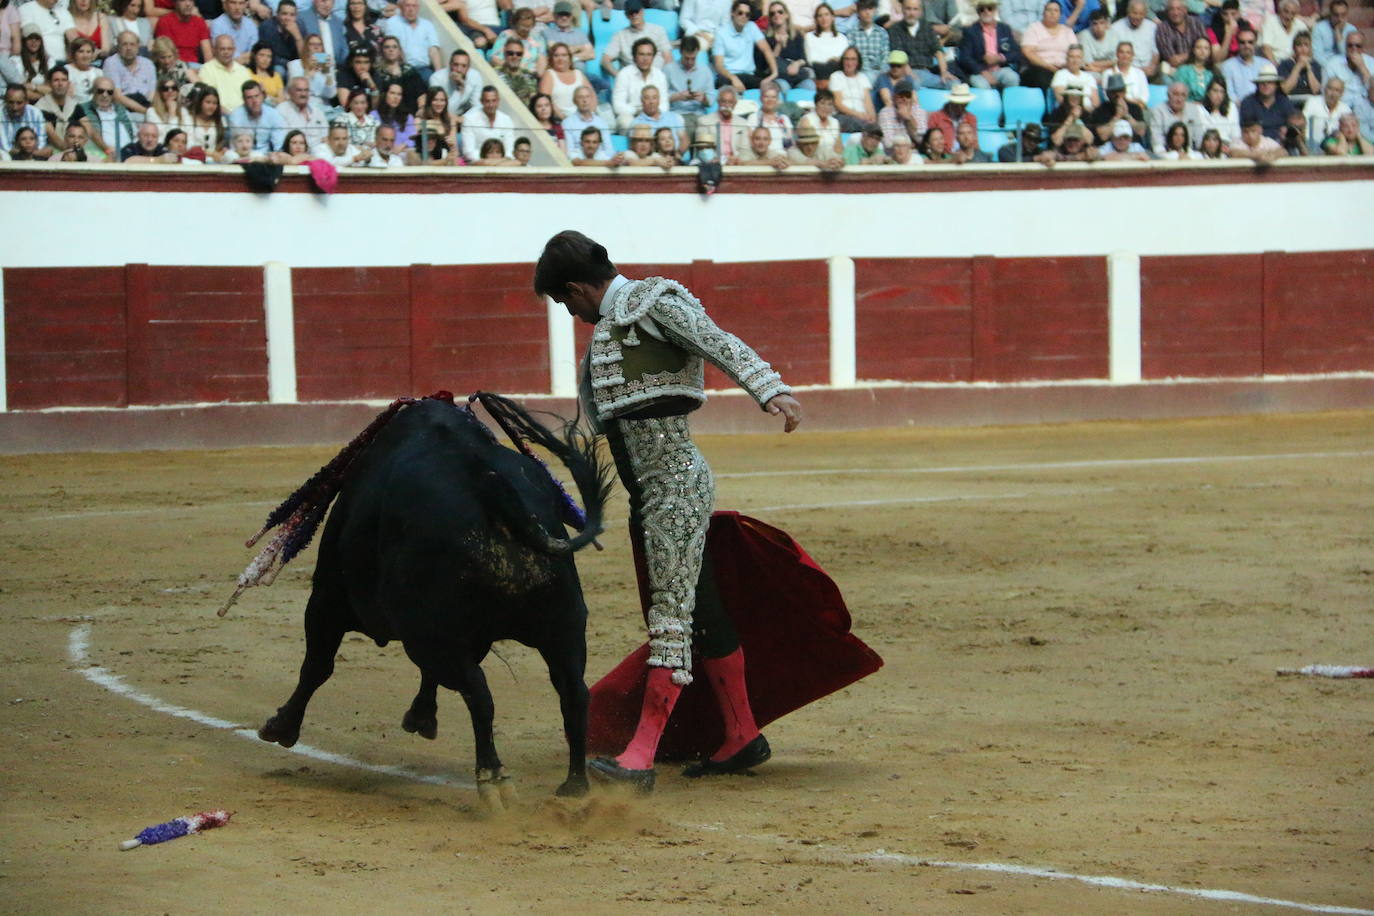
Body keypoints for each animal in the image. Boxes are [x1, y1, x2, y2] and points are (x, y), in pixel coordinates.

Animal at [241, 390, 612, 807]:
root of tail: (488, 487)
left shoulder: (328, 599)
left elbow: (317, 667)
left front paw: (280, 727)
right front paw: (421, 718)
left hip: (432, 635)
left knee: (479, 694)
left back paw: (493, 779)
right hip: (562, 626)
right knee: (573, 693)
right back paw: (575, 785)